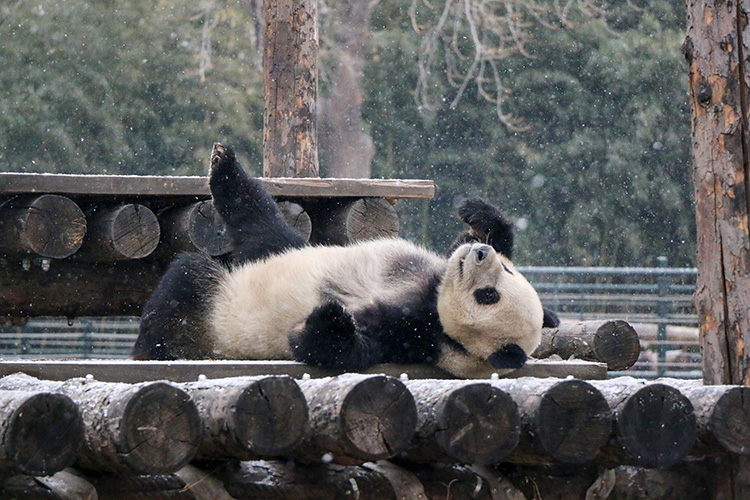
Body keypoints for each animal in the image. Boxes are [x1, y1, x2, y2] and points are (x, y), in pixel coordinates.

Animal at [134, 143, 560, 376]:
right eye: (505, 273)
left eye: (489, 296)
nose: (480, 254)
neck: (430, 294)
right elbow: (265, 232)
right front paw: (480, 218)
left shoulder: (413, 335)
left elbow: (327, 347)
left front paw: (332, 319)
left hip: (214, 319)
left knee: (187, 278)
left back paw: (151, 348)